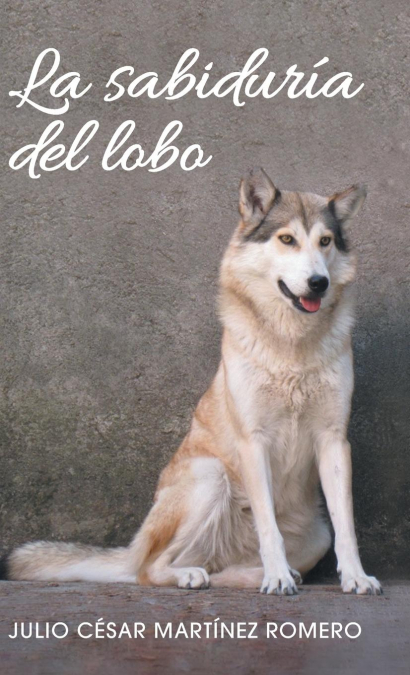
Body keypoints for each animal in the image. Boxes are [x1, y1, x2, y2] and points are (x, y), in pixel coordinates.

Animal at [2, 168, 381, 595]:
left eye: (325, 241)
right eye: (287, 239)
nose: (319, 282)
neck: (292, 345)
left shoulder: (334, 441)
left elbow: (346, 527)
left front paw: (355, 576)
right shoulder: (254, 440)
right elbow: (269, 528)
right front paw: (278, 577)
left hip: (315, 534)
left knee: (221, 569)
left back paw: (256, 574)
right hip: (210, 476)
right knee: (149, 569)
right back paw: (199, 575)